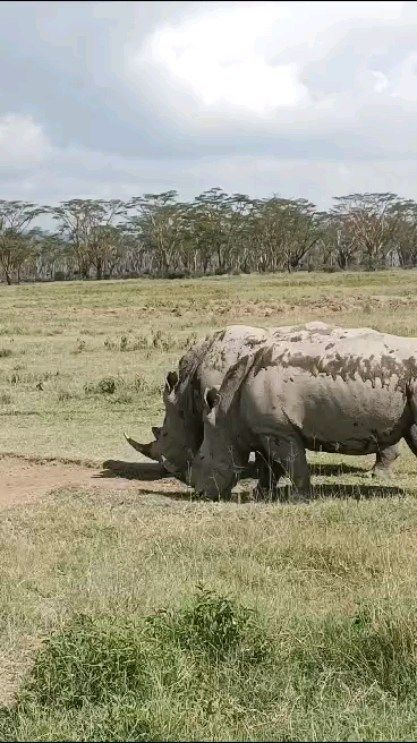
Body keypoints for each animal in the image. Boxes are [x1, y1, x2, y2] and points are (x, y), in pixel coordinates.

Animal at [190, 330, 417, 501]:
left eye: (201, 457)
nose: (200, 493)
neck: (227, 415)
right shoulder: (267, 430)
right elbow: (271, 466)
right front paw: (260, 495)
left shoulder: (278, 430)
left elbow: (293, 464)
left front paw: (299, 499)